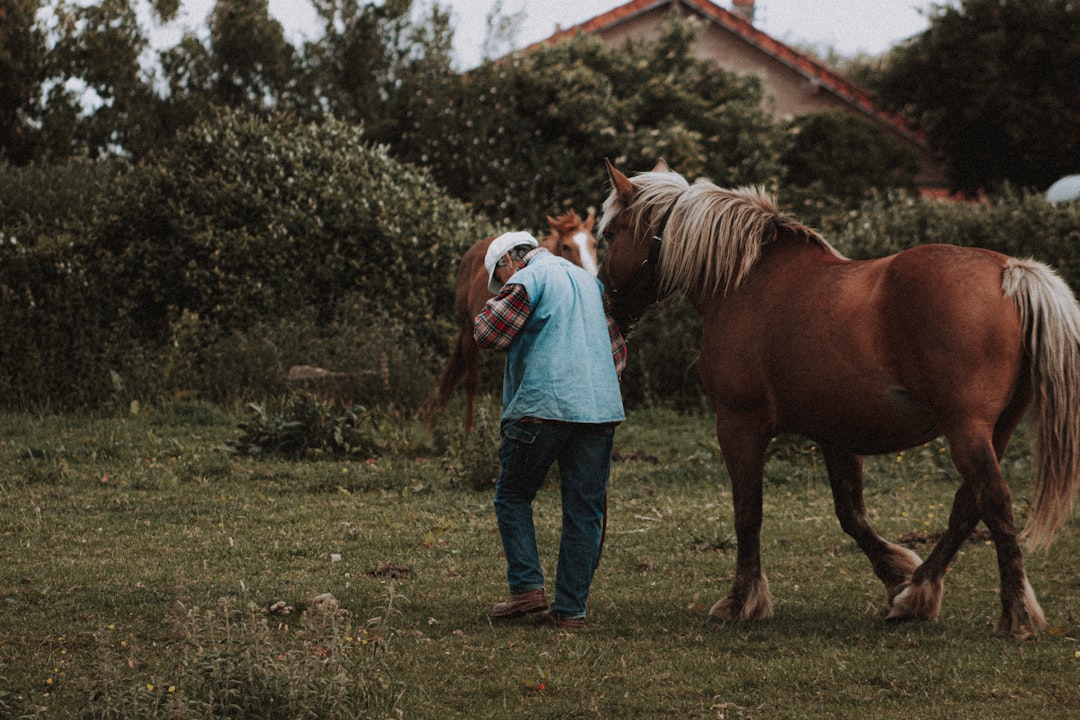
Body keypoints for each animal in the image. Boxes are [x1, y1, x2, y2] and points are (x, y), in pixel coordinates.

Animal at [423, 208, 600, 433]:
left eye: (593, 243)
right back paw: (467, 431)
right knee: (471, 382)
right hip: (468, 331)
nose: (593, 277)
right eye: (567, 247)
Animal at [600, 160, 1080, 639]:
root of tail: (1011, 272)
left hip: (966, 429)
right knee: (969, 505)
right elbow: (851, 513)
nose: (610, 307)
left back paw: (1014, 613)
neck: (746, 282)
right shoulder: (837, 434)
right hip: (996, 430)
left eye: (608, 234)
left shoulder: (739, 425)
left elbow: (748, 513)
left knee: (994, 501)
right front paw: (895, 574)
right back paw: (918, 593)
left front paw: (740, 600)